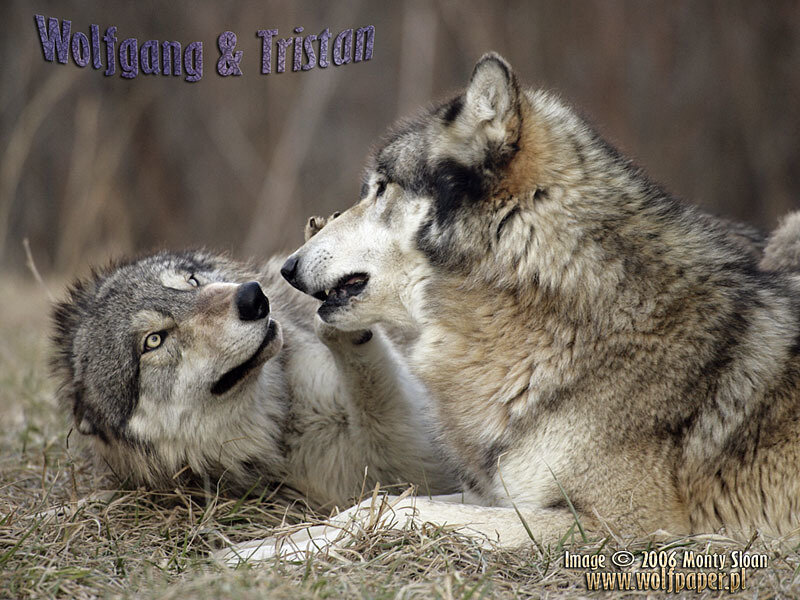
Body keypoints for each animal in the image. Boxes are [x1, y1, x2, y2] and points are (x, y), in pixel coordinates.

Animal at [278, 52, 800, 554]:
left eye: (382, 188)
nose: (287, 267)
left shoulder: (621, 527)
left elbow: (397, 507)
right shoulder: (504, 495)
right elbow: (367, 504)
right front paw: (272, 546)